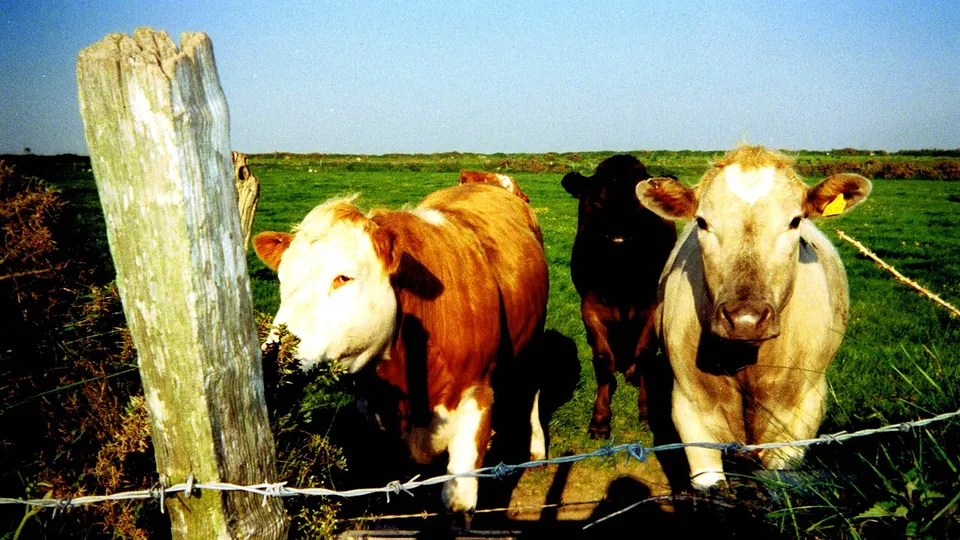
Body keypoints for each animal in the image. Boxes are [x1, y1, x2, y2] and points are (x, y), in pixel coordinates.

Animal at [252, 183, 549, 517]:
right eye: (283, 279)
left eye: (344, 277)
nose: (275, 354)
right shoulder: (373, 412)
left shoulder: (477, 396)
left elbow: (459, 504)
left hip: (535, 338)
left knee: (532, 390)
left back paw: (536, 450)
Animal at [561, 155, 677, 439]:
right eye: (596, 202)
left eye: (641, 206)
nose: (618, 240)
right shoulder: (590, 306)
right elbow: (603, 359)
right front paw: (600, 420)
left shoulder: (651, 306)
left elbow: (645, 354)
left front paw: (646, 412)